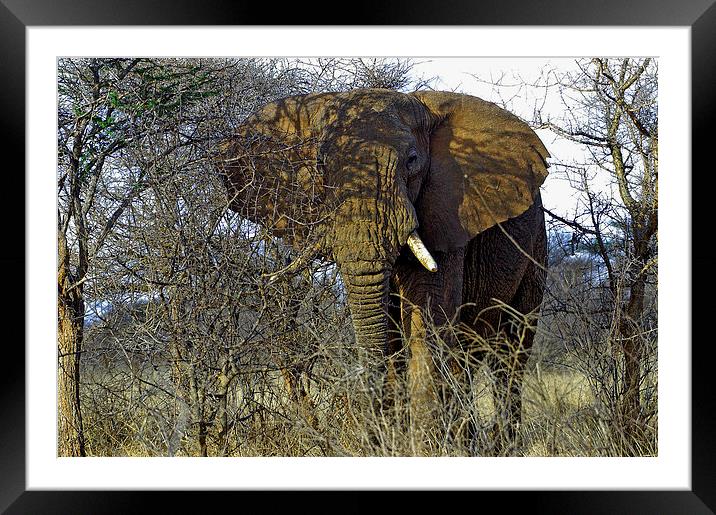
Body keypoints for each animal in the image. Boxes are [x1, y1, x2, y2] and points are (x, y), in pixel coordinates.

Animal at [215, 88, 552, 456]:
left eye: (412, 160)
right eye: (320, 166)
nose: (369, 438)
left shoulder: (448, 215)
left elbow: (427, 319)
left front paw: (426, 450)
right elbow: (390, 330)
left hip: (536, 246)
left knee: (512, 350)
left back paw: (501, 447)